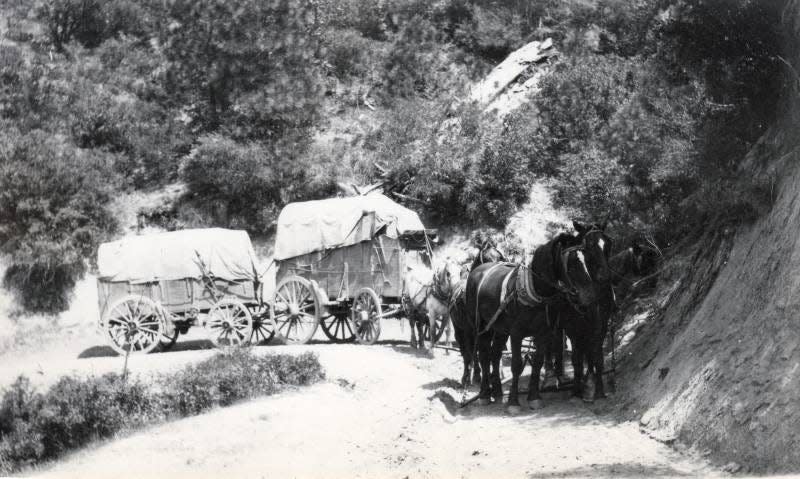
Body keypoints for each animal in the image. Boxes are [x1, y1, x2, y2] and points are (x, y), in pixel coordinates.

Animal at [468, 222, 612, 412]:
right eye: (572, 263)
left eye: (586, 258)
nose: (590, 295)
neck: (536, 289)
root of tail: (477, 271)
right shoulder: (516, 333)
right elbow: (516, 365)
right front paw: (513, 402)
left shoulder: (544, 333)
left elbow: (537, 363)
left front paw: (534, 397)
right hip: (482, 327)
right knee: (484, 355)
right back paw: (485, 394)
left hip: (500, 330)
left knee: (495, 354)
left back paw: (497, 392)